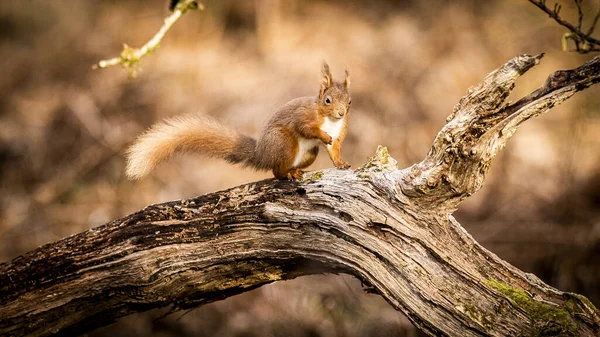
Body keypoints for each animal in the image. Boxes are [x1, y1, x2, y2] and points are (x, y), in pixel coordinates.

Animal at [126, 61, 352, 180]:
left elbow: (334, 150)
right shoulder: (304, 116)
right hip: (283, 142)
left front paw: (341, 164)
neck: (330, 121)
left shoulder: (339, 133)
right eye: (327, 100)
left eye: (350, 101)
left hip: (309, 153)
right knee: (276, 171)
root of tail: (261, 154)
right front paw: (322, 135)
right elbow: (305, 128)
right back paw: (288, 174)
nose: (341, 113)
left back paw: (295, 170)